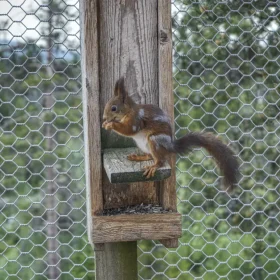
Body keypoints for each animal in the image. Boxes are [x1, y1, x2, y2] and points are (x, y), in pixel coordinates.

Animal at [101, 77, 240, 190]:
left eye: (113, 108)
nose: (104, 117)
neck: (128, 111)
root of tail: (170, 146)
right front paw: (105, 124)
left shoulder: (136, 120)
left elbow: (129, 130)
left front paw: (110, 125)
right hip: (144, 145)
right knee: (150, 156)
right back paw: (138, 157)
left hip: (155, 140)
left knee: (160, 161)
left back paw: (153, 167)